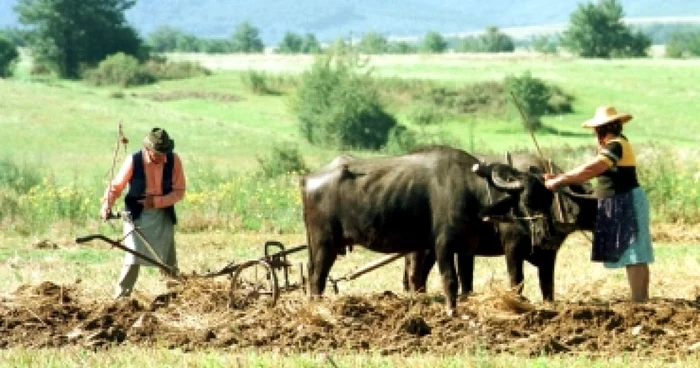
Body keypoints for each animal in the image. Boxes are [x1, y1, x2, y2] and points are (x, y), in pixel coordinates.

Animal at [404, 153, 596, 302]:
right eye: (527, 200)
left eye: (548, 200)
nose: (544, 234)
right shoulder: (512, 249)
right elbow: (517, 280)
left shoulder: (549, 254)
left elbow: (547, 285)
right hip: (420, 248)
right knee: (415, 272)